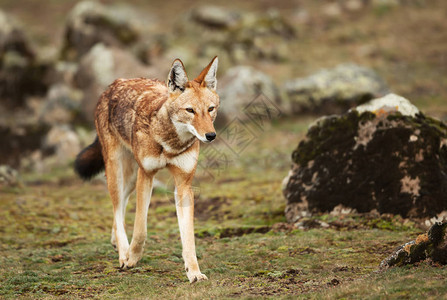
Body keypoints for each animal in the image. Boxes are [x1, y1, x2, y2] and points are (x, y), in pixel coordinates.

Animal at [75, 56, 220, 284]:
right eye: (190, 110)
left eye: (210, 109)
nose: (211, 136)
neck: (170, 142)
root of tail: (115, 83)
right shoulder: (147, 175)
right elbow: (140, 229)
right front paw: (131, 259)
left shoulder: (183, 185)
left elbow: (188, 238)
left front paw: (194, 273)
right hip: (117, 171)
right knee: (117, 207)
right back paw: (123, 252)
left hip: (130, 179)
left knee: (120, 207)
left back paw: (116, 242)